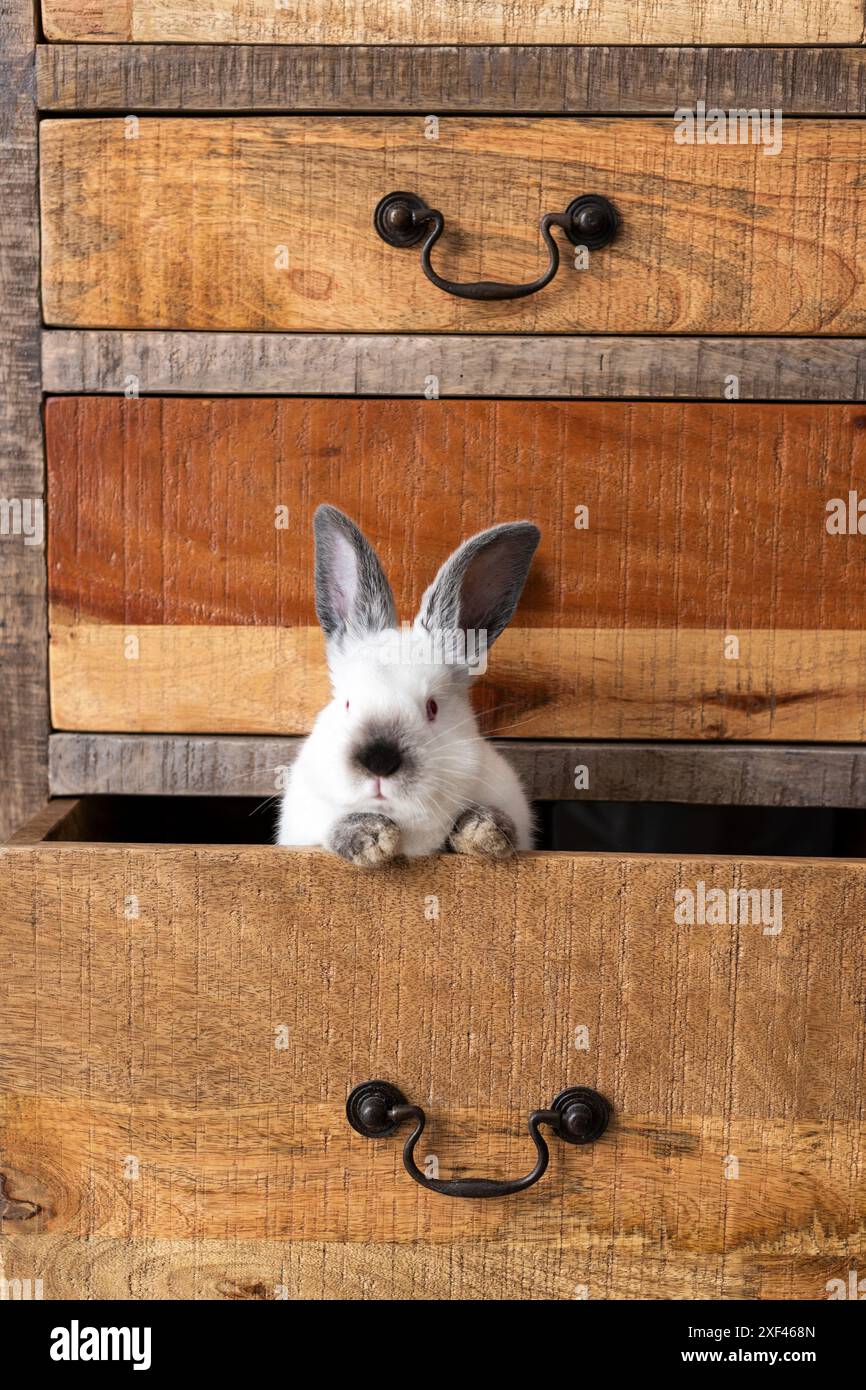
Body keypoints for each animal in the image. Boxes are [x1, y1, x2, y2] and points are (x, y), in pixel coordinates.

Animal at [277, 504, 541, 867]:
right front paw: (373, 838)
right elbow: (334, 828)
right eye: (347, 703)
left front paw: (484, 831)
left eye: (432, 707)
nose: (379, 761)